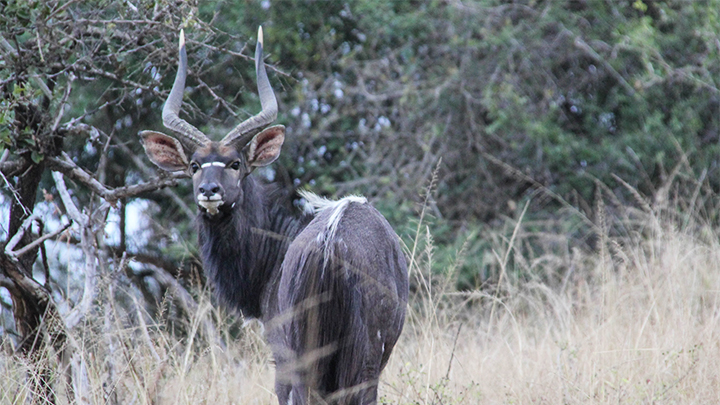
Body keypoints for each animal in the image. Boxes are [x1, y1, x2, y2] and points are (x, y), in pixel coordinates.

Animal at [141, 26, 408, 402]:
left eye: (235, 163)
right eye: (194, 165)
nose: (209, 191)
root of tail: (331, 247)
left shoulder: (281, 356)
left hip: (315, 361)